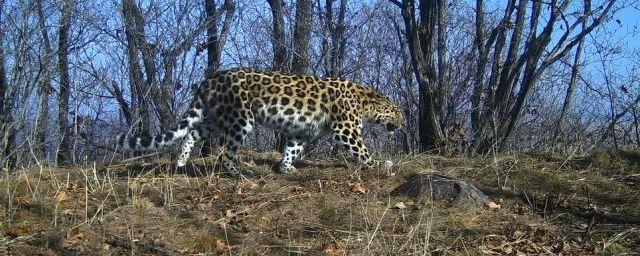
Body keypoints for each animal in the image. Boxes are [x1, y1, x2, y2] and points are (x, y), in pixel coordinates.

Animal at [117, 68, 404, 176]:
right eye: (397, 112)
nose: (402, 125)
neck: (365, 103)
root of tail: (211, 78)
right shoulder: (346, 129)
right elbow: (362, 151)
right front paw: (379, 165)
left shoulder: (301, 132)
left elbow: (292, 149)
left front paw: (286, 168)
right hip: (241, 118)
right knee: (225, 152)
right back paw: (240, 173)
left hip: (218, 117)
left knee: (192, 133)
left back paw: (180, 162)